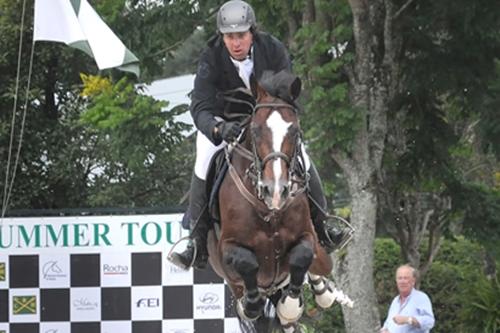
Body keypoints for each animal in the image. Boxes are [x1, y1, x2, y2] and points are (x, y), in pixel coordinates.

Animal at [205, 71, 354, 330]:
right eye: (254, 130)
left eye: (294, 131)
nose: (275, 190)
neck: (269, 211)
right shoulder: (227, 249)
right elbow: (246, 263)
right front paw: (250, 304)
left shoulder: (307, 235)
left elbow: (302, 254)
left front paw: (290, 306)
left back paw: (321, 292)